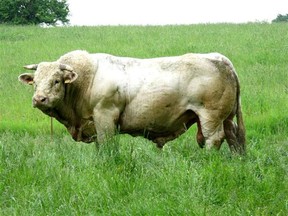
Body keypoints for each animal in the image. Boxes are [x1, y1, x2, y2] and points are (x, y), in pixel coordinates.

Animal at [19, 50, 245, 153]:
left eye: (56, 80)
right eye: (35, 82)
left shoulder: (105, 117)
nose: (39, 99)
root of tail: (220, 59)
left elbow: (107, 146)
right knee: (233, 136)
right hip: (226, 117)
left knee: (214, 138)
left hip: (210, 116)